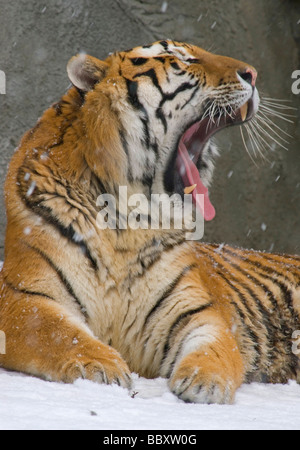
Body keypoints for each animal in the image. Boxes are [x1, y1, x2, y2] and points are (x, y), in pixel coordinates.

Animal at [0, 39, 298, 404]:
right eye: (182, 60)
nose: (253, 74)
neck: (128, 222)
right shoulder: (22, 296)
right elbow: (57, 332)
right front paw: (102, 367)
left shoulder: (197, 309)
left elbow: (215, 347)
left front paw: (204, 382)